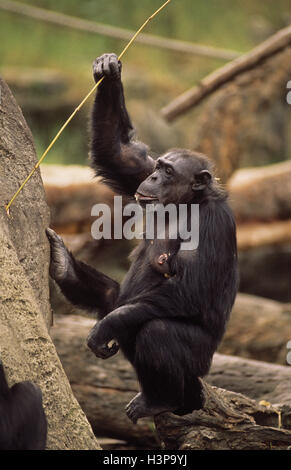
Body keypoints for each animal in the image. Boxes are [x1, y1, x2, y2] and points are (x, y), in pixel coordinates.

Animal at [46, 53, 240, 424]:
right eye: (159, 166)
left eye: (169, 172)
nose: (153, 177)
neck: (189, 203)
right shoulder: (137, 170)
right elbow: (118, 154)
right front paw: (108, 71)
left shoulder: (212, 225)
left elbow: (188, 287)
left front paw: (106, 326)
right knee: (114, 295)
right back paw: (64, 266)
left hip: (199, 362)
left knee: (156, 331)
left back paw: (161, 400)